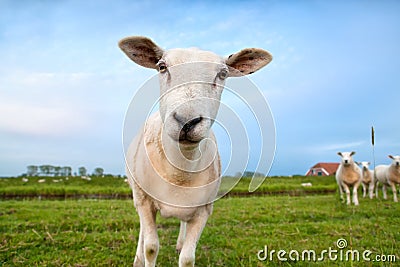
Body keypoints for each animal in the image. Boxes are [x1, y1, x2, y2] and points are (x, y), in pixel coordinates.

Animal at [119, 36, 274, 267]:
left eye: (223, 73)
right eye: (162, 67)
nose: (186, 121)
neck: (179, 173)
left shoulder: (204, 209)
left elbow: (187, 258)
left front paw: (183, 249)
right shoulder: (145, 201)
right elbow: (151, 247)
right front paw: (144, 254)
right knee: (142, 231)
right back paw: (138, 257)